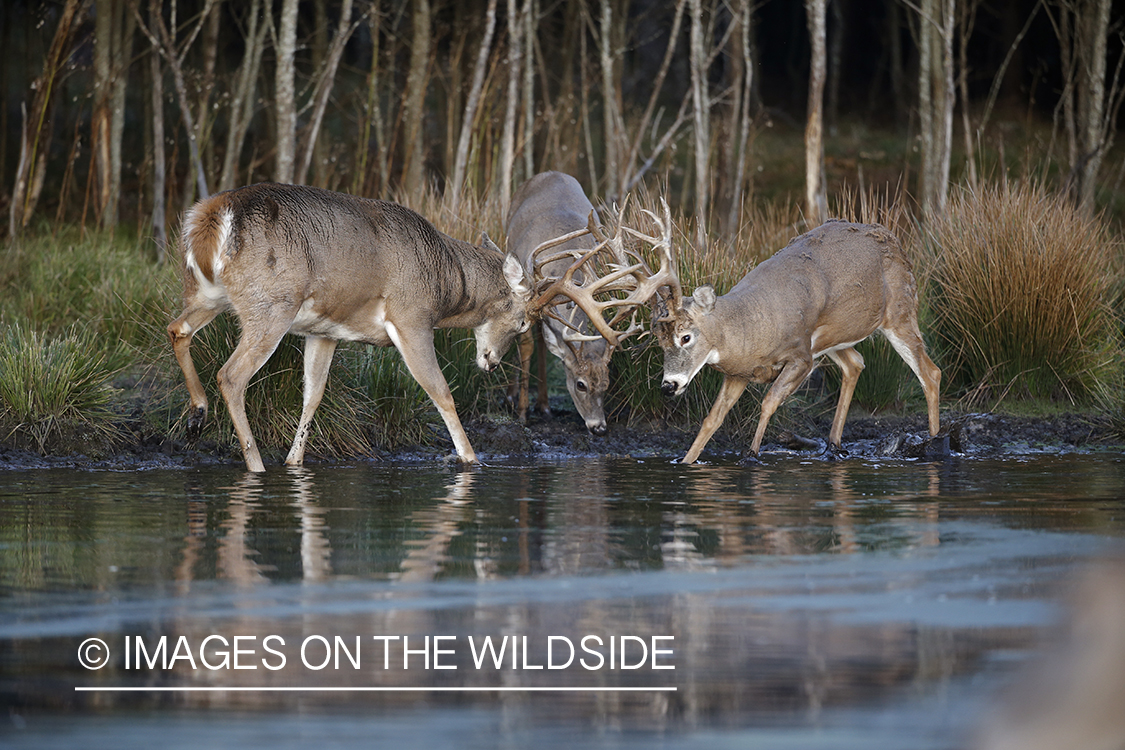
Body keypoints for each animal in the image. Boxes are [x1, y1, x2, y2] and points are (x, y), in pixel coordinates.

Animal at [167, 184, 535, 472]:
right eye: (523, 323)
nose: (492, 362)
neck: (447, 286)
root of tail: (210, 215)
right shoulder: (411, 317)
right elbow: (441, 391)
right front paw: (471, 459)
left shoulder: (324, 331)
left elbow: (313, 394)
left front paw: (294, 461)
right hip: (272, 304)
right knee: (231, 375)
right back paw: (254, 463)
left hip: (207, 294)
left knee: (177, 328)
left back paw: (197, 415)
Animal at [652, 218, 940, 463]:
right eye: (659, 340)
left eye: (686, 337)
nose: (668, 386)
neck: (753, 326)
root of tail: (894, 239)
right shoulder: (739, 372)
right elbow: (713, 418)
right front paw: (686, 461)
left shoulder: (801, 357)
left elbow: (769, 401)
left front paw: (752, 453)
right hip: (834, 338)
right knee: (855, 363)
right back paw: (833, 446)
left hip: (900, 311)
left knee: (930, 372)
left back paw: (935, 441)